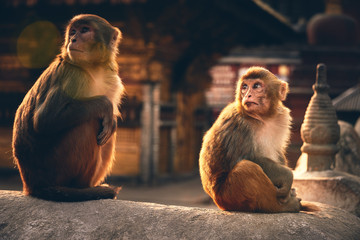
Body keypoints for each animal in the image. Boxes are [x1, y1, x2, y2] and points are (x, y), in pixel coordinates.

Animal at [12, 14, 125, 202]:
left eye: (84, 30)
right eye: (73, 32)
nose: (73, 39)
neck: (93, 68)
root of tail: (33, 185)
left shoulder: (112, 82)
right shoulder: (73, 76)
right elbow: (45, 120)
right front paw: (104, 105)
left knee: (107, 130)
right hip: (55, 169)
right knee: (89, 123)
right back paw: (80, 189)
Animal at [198, 65, 302, 212]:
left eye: (256, 86)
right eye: (245, 87)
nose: (247, 95)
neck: (263, 118)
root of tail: (217, 201)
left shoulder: (281, 117)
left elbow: (278, 152)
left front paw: (291, 189)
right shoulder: (238, 124)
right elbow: (243, 158)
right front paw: (287, 176)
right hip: (228, 196)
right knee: (246, 168)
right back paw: (282, 207)